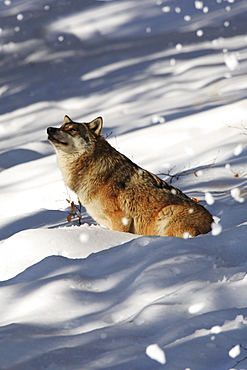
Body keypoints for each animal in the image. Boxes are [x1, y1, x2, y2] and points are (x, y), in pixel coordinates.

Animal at [47, 115, 213, 237]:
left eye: (72, 130)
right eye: (61, 127)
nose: (49, 129)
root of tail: (213, 225)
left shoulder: (121, 218)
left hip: (168, 213)